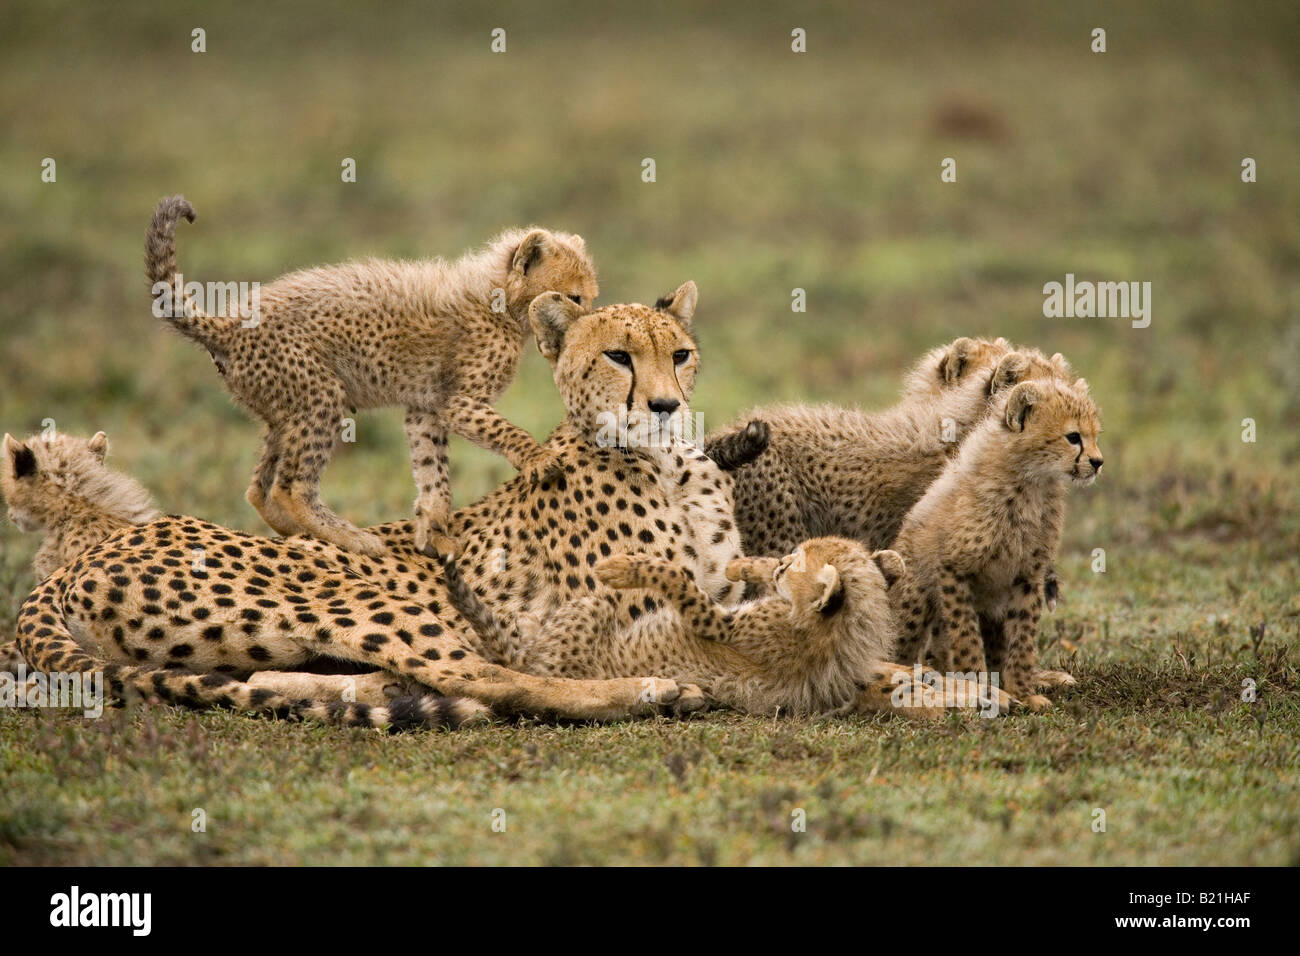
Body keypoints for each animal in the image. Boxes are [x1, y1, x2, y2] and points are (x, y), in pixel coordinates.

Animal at [146, 197, 598, 564]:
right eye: (574, 296)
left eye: (589, 298)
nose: (586, 322)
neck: (500, 300)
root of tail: (229, 324)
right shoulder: (459, 403)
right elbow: (506, 432)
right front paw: (540, 459)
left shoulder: (425, 409)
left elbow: (432, 472)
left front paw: (434, 533)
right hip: (320, 395)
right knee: (290, 487)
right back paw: (350, 537)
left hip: (283, 410)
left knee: (258, 487)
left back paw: (298, 533)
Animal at [441, 538, 1008, 717]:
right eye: (793, 556)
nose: (783, 564)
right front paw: (742, 566)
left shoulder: (720, 625)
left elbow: (678, 580)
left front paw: (627, 566)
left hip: (585, 618)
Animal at [889, 374, 1102, 712]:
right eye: (1073, 437)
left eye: (1095, 435)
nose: (1098, 462)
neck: (1030, 483)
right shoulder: (953, 570)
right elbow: (965, 636)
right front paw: (980, 689)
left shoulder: (1028, 575)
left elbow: (1023, 635)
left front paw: (1023, 691)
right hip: (915, 600)